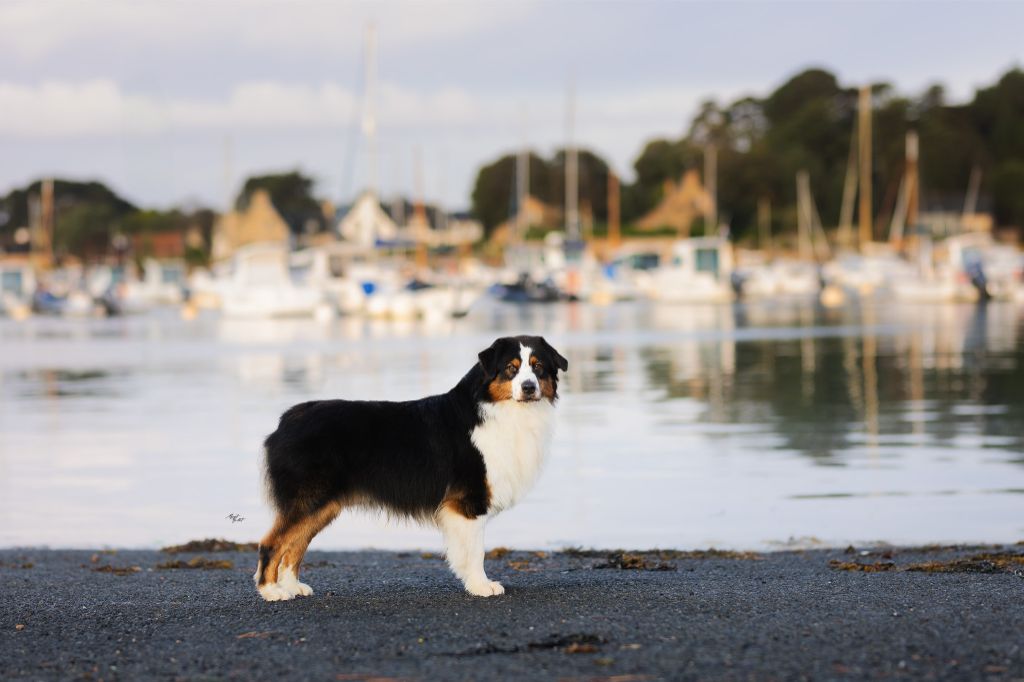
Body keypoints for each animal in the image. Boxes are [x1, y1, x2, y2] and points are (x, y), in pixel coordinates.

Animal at [250, 333, 565, 602]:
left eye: (538, 367)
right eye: (511, 368)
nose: (529, 388)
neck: (499, 410)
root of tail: (286, 421)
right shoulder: (468, 501)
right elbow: (476, 551)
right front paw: (481, 586)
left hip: (322, 504)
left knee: (295, 544)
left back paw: (292, 586)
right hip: (309, 498)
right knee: (271, 542)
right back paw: (271, 591)